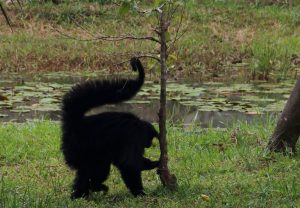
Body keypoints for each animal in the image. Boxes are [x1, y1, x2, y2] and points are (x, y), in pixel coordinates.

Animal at [60, 57, 159, 200]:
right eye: (149, 139)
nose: (149, 144)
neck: (139, 125)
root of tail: (77, 122)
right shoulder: (134, 137)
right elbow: (128, 163)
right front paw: (140, 192)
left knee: (86, 172)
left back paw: (80, 194)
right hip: (80, 147)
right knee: (98, 168)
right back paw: (95, 187)